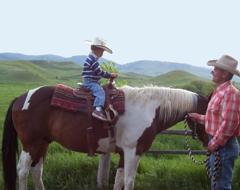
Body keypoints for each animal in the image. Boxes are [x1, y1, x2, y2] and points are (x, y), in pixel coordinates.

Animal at [1, 84, 208, 189]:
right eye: (209, 113)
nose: (210, 143)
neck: (149, 109)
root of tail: (21, 98)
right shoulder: (133, 151)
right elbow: (129, 181)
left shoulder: (124, 153)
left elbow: (119, 180)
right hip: (31, 144)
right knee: (23, 171)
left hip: (43, 143)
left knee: (37, 171)